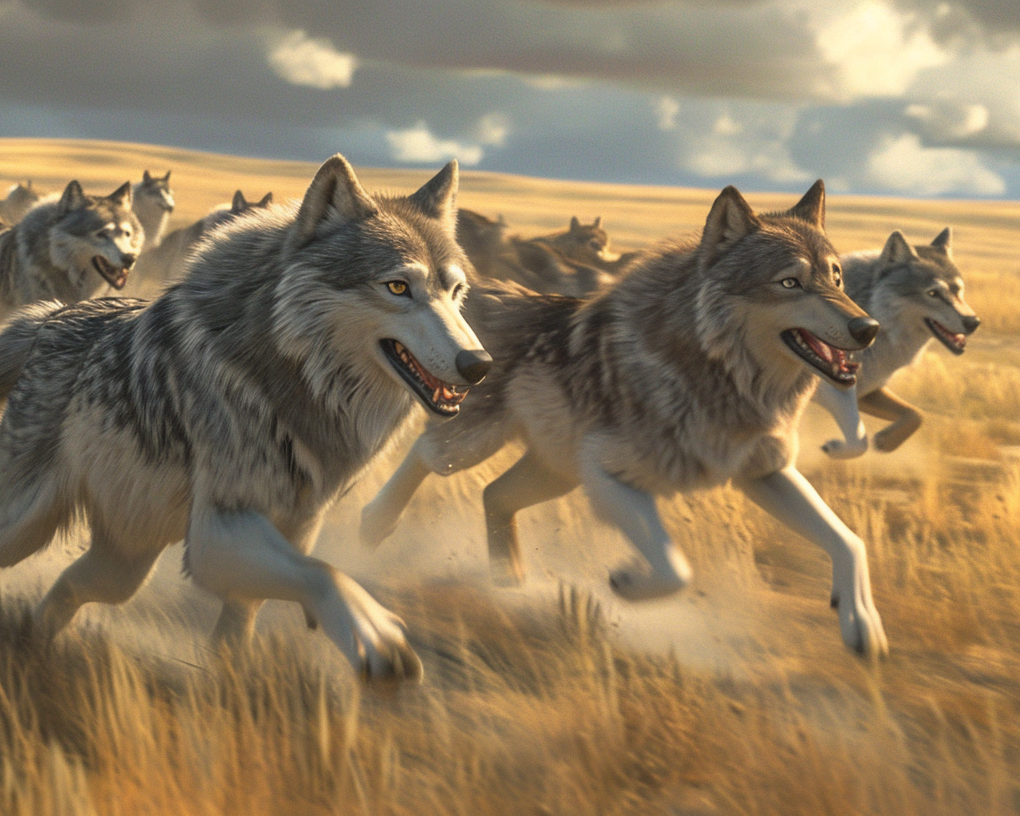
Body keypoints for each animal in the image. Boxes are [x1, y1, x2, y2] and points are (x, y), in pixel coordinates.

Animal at [362, 181, 891, 658]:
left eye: (837, 279)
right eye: (789, 282)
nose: (869, 329)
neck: (718, 373)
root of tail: (476, 293)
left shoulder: (765, 473)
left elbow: (849, 542)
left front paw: (861, 624)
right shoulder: (607, 472)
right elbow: (676, 568)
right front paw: (627, 582)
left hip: (555, 472)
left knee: (494, 495)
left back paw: (507, 580)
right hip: (479, 445)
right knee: (426, 455)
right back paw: (376, 522)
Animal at [815, 228, 980, 459]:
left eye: (959, 290)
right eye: (933, 293)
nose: (973, 322)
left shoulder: (866, 391)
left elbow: (917, 414)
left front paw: (886, 441)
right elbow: (859, 442)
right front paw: (836, 449)